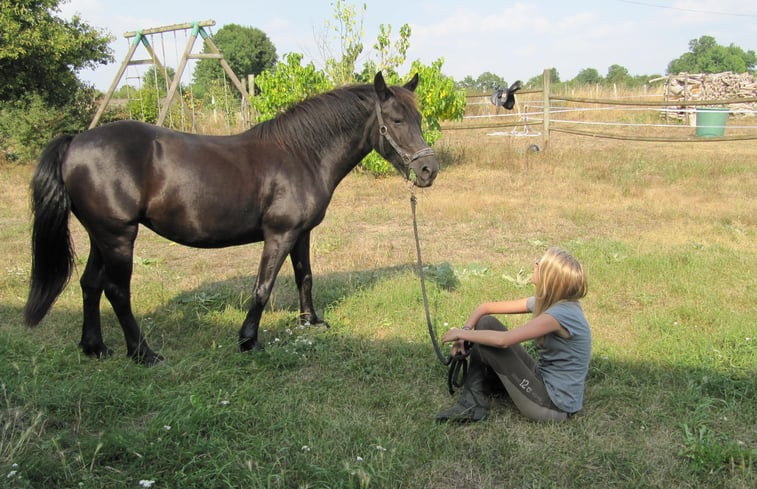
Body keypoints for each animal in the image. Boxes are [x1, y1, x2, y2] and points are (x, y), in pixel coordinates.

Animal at [23, 71, 438, 362]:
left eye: (418, 117)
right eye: (396, 120)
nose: (428, 170)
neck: (301, 154)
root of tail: (76, 141)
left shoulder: (301, 234)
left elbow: (304, 276)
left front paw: (311, 322)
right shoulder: (280, 234)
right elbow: (263, 287)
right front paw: (249, 340)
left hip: (101, 236)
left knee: (90, 285)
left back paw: (94, 347)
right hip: (119, 237)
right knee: (116, 291)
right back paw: (143, 353)